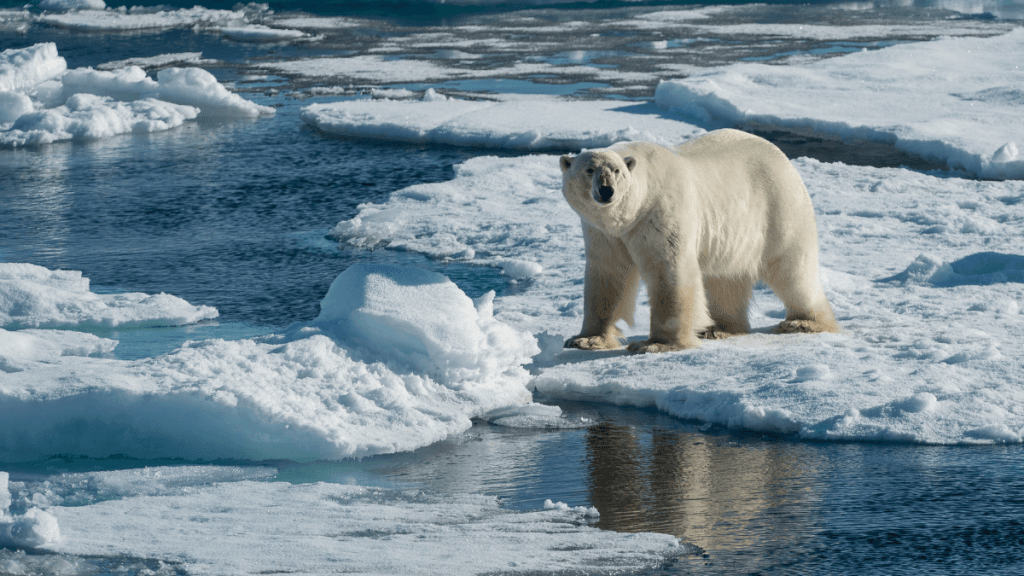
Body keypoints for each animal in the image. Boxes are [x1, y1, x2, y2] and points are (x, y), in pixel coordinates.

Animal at [559, 128, 839, 354]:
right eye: (589, 170)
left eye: (617, 171)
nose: (606, 191)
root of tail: (782, 157)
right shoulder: (604, 233)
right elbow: (608, 274)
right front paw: (586, 339)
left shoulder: (660, 214)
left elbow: (669, 272)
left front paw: (656, 344)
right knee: (726, 277)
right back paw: (720, 327)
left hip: (779, 208)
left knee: (793, 270)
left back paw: (803, 322)